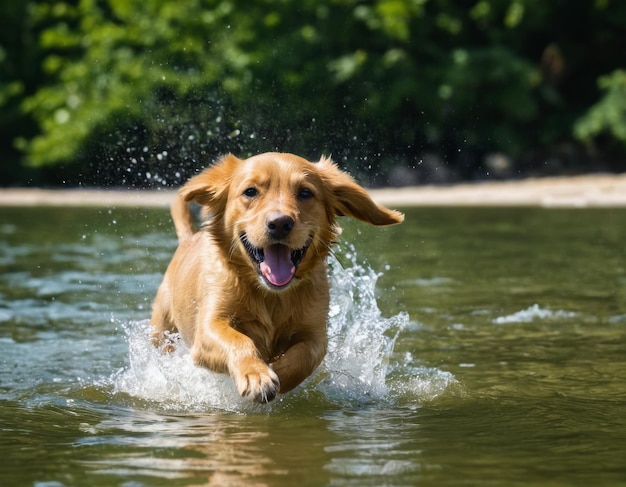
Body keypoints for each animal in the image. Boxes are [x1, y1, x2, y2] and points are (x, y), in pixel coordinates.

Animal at [152, 152, 404, 404]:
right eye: (250, 191)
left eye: (305, 192)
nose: (280, 223)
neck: (271, 295)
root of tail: (188, 239)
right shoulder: (209, 327)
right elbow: (237, 340)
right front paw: (257, 375)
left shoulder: (316, 333)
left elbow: (306, 356)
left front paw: (276, 373)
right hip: (162, 332)